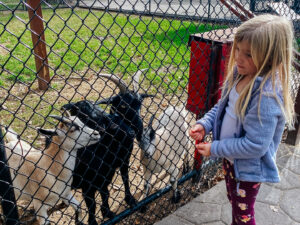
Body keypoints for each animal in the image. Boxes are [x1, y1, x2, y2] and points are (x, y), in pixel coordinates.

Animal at [61, 69, 154, 224]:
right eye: (123, 105)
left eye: (140, 102)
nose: (138, 129)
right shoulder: (89, 181)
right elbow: (92, 203)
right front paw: (96, 219)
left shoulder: (122, 162)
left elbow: (123, 179)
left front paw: (128, 201)